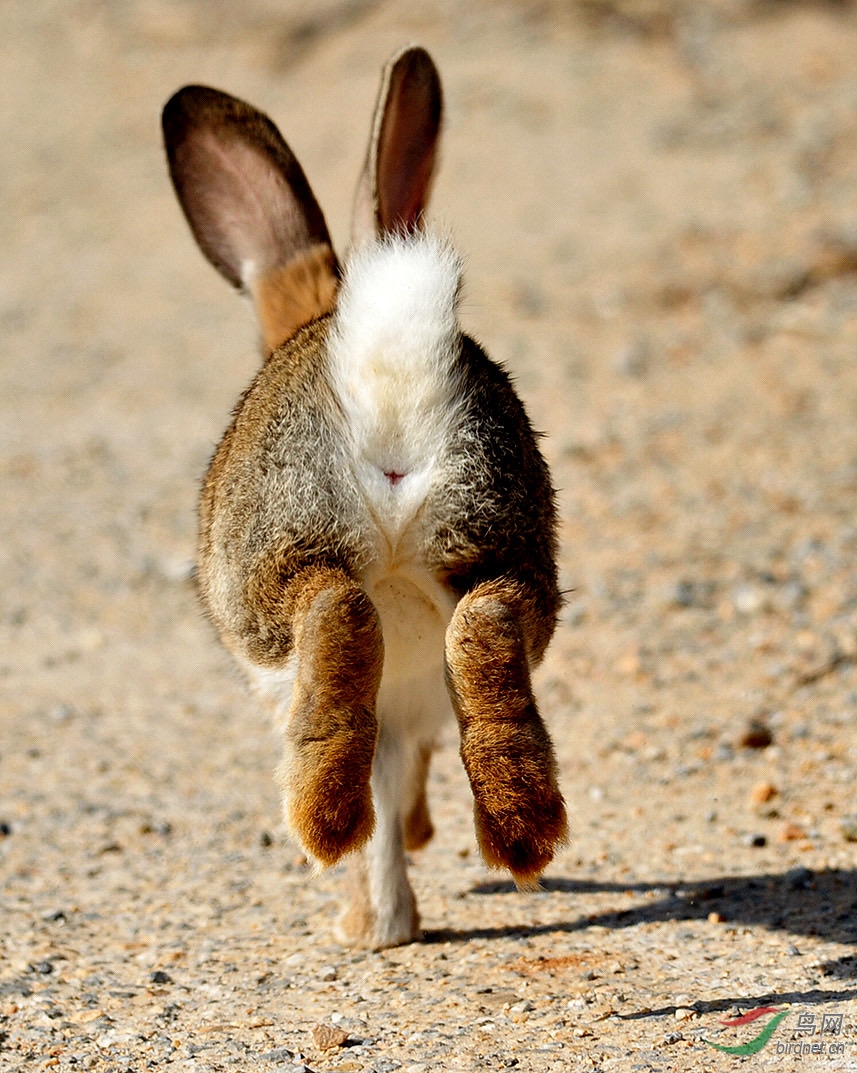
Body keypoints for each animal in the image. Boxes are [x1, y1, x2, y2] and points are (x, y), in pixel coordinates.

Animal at [163, 46, 566, 948]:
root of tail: (382, 379)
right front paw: (394, 908)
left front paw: (370, 919)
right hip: (498, 534)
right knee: (487, 623)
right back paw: (521, 827)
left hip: (275, 559)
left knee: (334, 610)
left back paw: (326, 830)